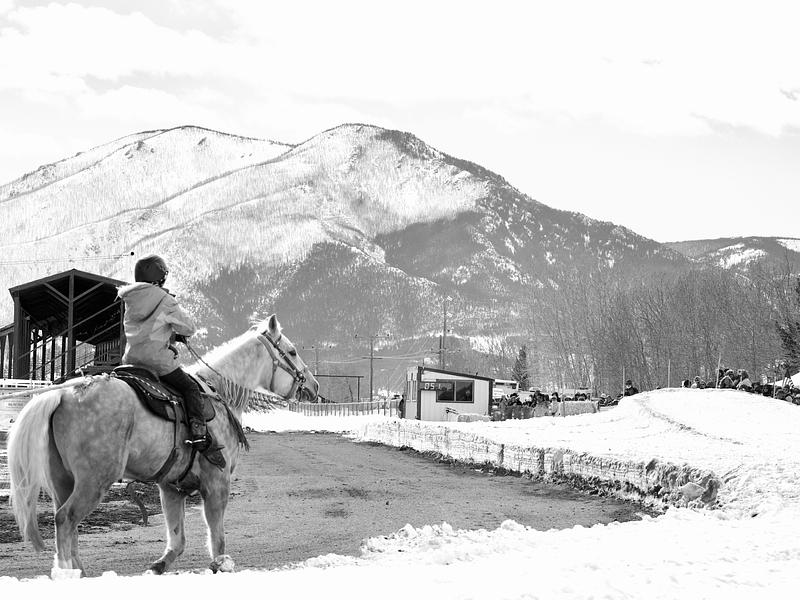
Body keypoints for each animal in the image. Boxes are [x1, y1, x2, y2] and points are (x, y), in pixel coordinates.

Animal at [8, 314, 318, 578]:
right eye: (292, 352)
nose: (313, 386)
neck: (218, 392)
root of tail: (64, 393)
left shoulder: (171, 487)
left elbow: (177, 538)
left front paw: (158, 566)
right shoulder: (217, 483)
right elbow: (217, 535)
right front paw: (221, 564)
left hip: (63, 481)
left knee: (66, 524)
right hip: (93, 481)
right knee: (66, 519)